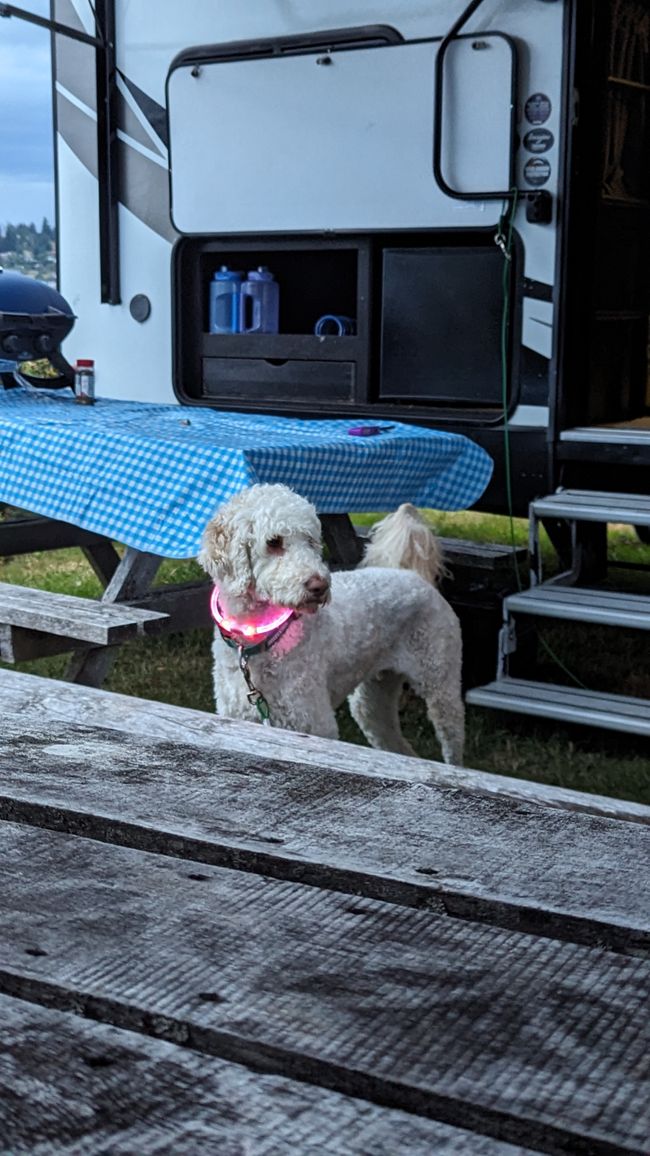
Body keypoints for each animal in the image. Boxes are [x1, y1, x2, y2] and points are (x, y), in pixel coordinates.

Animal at [197, 480, 460, 762]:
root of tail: (415, 576)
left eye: (311, 541)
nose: (320, 586)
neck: (259, 637)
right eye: (274, 542)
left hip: (441, 684)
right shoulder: (239, 718)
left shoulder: (315, 725)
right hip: (374, 699)